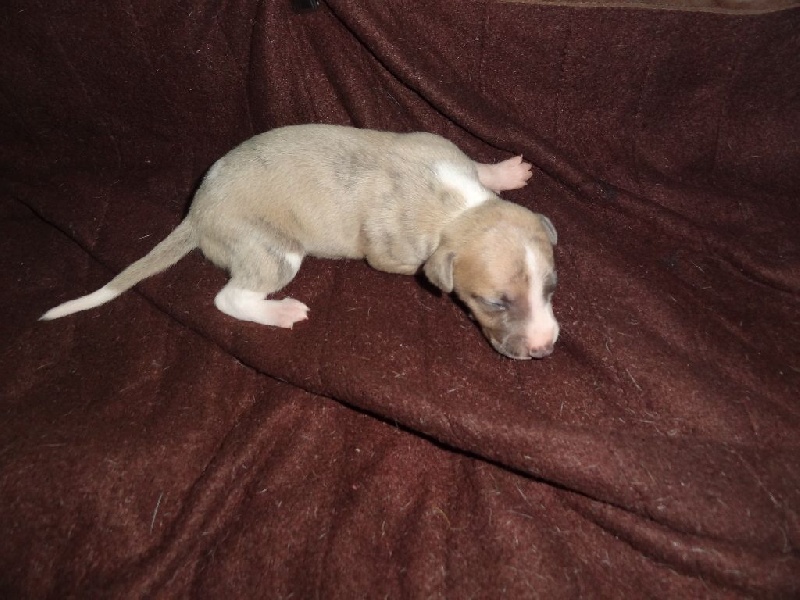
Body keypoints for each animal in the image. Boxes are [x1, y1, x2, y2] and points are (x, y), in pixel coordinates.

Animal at [41, 124, 559, 359]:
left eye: (550, 289)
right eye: (494, 302)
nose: (544, 348)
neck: (461, 208)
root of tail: (196, 211)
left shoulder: (443, 151)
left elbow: (479, 168)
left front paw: (504, 172)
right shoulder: (393, 252)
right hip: (273, 250)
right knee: (229, 297)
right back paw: (278, 311)